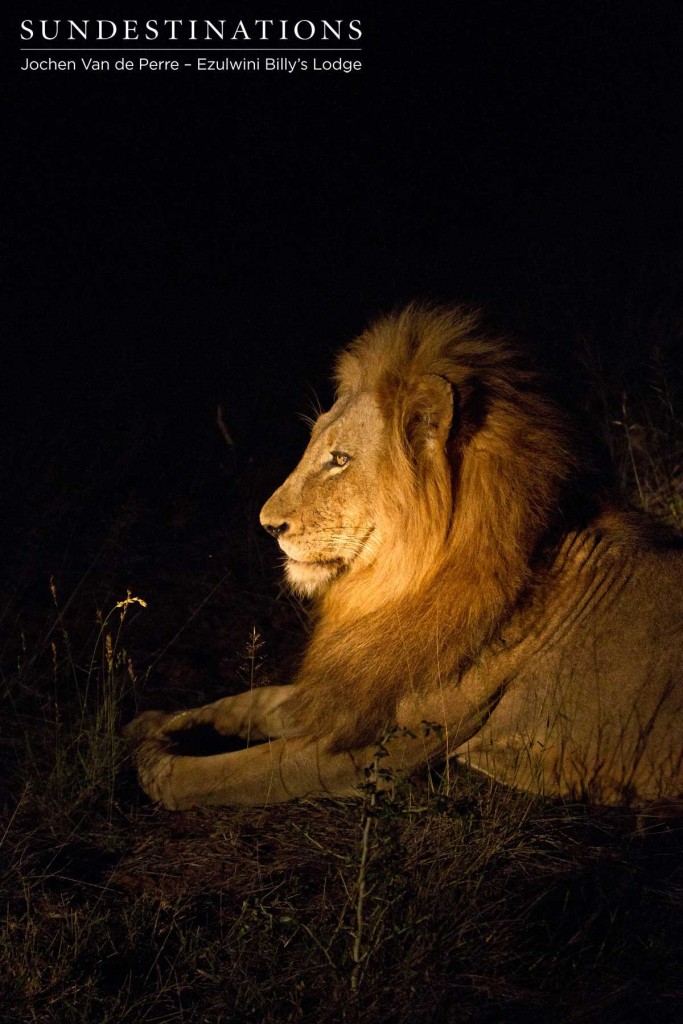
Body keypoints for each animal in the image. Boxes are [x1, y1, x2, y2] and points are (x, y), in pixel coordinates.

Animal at [127, 303, 683, 806]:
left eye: (340, 459)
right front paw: (154, 722)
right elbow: (256, 698)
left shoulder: (369, 753)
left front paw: (153, 764)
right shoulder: (357, 685)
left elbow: (228, 775)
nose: (268, 525)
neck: (392, 587)